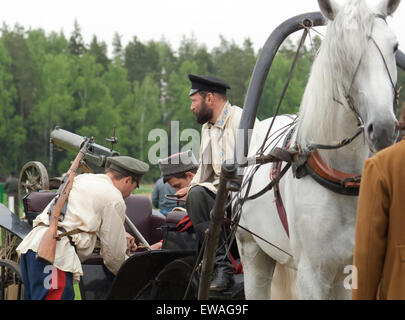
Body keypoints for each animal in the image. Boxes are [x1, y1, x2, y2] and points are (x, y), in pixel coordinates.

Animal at [235, 0, 400, 300]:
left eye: (394, 46)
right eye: (342, 50)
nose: (382, 127)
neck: (344, 179)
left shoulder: (351, 270)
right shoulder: (312, 274)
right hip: (253, 251)